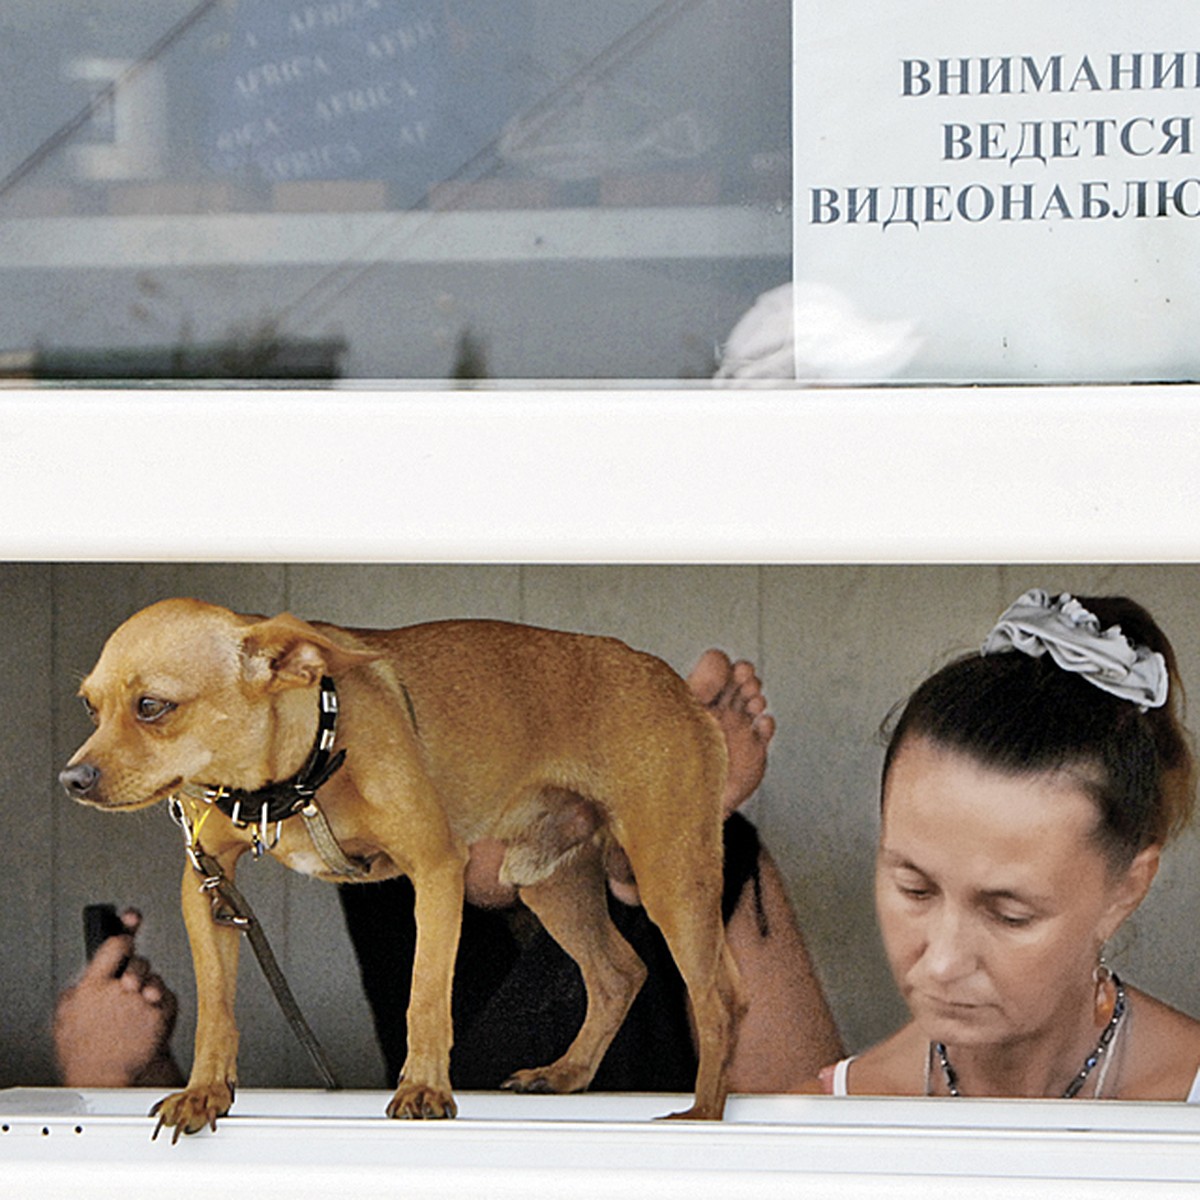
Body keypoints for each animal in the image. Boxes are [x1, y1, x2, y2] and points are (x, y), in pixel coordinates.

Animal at [65, 600, 744, 1132]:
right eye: (90, 708)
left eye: (152, 706)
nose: (71, 778)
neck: (296, 780)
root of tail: (670, 680)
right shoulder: (208, 886)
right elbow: (216, 1010)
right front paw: (205, 1093)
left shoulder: (436, 870)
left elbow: (426, 995)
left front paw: (423, 1089)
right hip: (549, 883)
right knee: (619, 973)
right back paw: (567, 1073)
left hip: (670, 876)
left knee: (716, 999)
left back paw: (703, 1114)